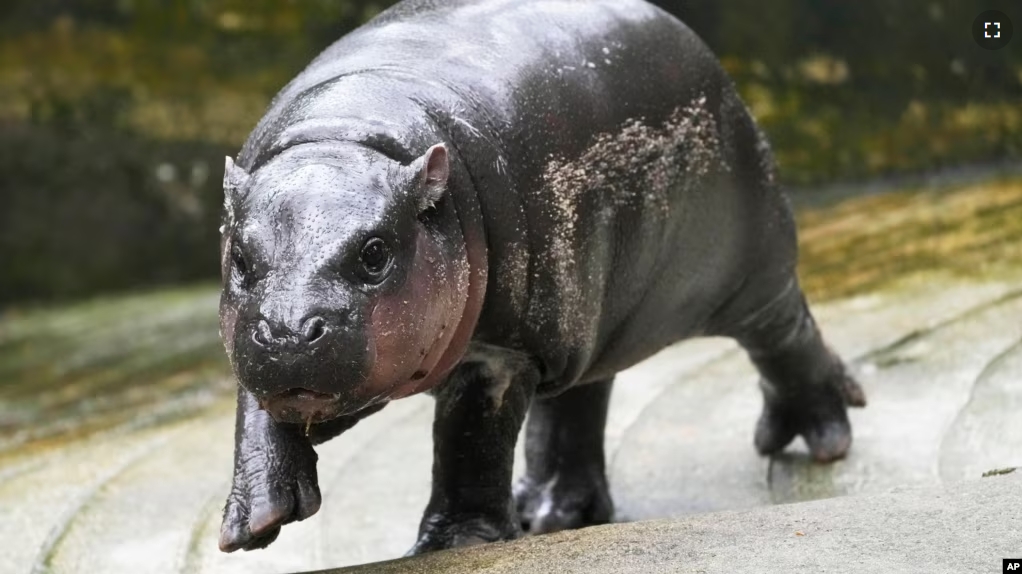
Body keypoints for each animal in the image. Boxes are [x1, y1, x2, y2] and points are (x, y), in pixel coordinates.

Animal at [215, 0, 862, 555]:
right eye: (240, 258)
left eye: (375, 252)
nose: (290, 332)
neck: (347, 136)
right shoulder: (253, 341)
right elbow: (255, 411)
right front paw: (255, 521)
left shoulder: (504, 350)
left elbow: (471, 440)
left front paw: (456, 545)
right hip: (590, 316)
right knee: (577, 402)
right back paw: (550, 513)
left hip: (749, 267)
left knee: (784, 333)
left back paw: (822, 437)